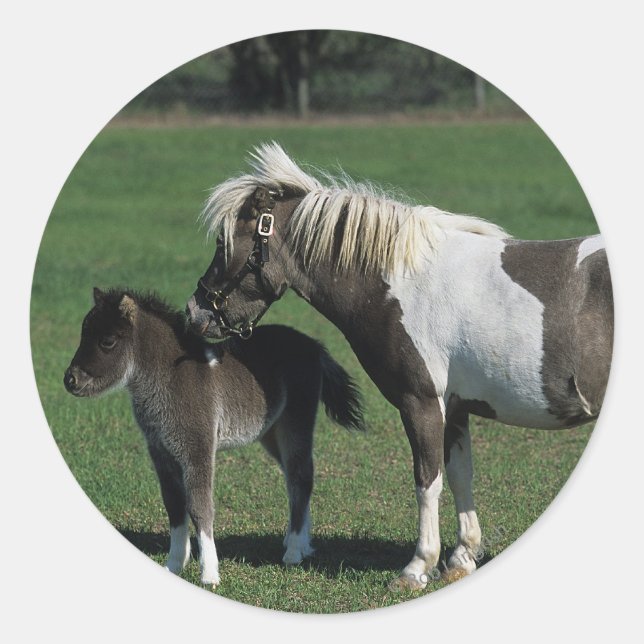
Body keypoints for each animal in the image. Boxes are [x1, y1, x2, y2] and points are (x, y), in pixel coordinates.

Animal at [64, 287, 364, 587]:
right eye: (82, 333)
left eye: (107, 341)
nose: (70, 380)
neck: (169, 378)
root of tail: (313, 345)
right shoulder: (161, 452)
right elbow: (174, 506)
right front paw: (174, 565)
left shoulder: (197, 448)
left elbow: (200, 507)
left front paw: (209, 574)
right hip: (270, 432)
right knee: (295, 478)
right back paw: (300, 543)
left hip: (296, 422)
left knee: (301, 476)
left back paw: (294, 552)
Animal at [185, 142, 613, 590]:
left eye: (225, 243)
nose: (195, 312)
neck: (401, 284)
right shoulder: (453, 408)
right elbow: (459, 476)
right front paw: (460, 559)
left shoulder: (420, 402)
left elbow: (427, 481)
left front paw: (417, 567)